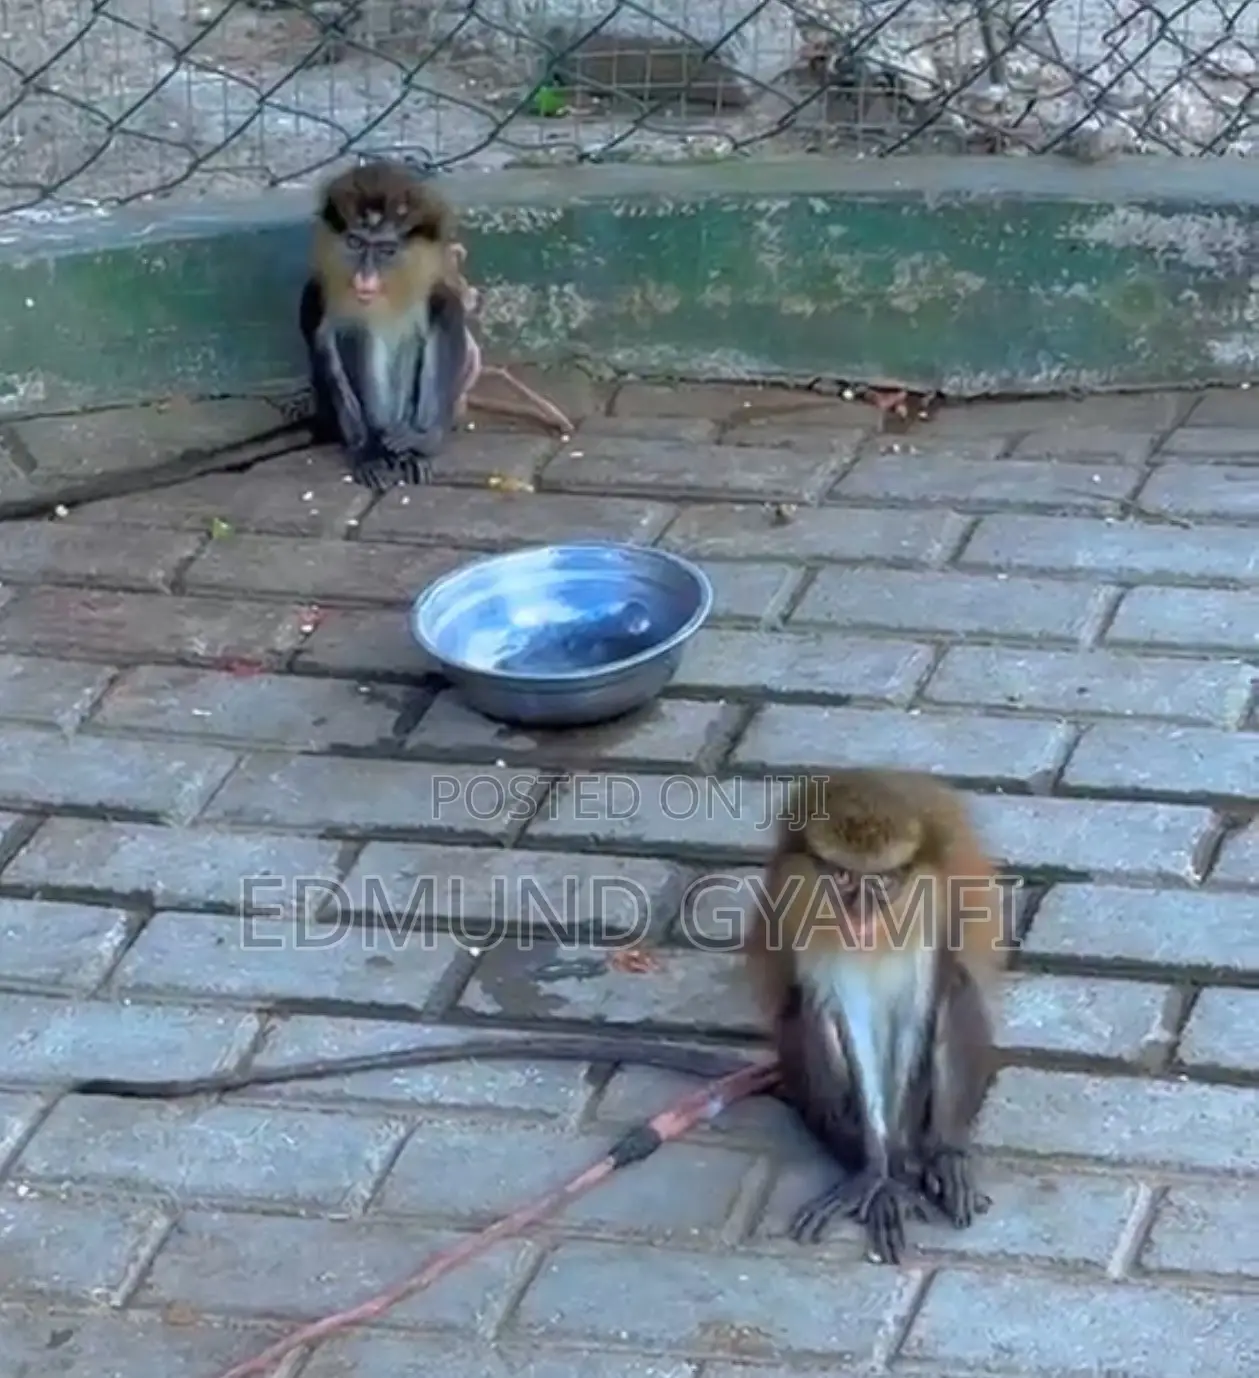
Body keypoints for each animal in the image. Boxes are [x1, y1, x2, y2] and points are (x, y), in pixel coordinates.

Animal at [301, 158, 471, 490]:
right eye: (355, 242)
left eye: (386, 250)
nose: (365, 278)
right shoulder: (317, 295)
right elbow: (329, 343)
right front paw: (366, 452)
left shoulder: (433, 287)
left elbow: (446, 312)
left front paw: (422, 441)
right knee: (357, 334)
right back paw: (378, 442)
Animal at [744, 768, 1009, 1264]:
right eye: (843, 876)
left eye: (883, 882)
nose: (860, 913)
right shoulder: (799, 901)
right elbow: (843, 1017)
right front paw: (879, 1176)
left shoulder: (932, 902)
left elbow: (919, 1012)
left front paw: (901, 1169)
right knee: (805, 1010)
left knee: (956, 986)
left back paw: (942, 1157)